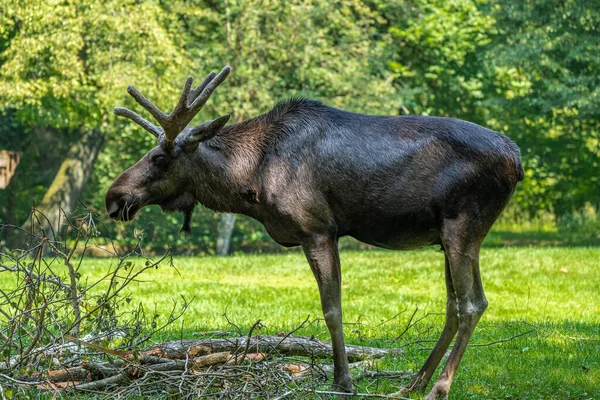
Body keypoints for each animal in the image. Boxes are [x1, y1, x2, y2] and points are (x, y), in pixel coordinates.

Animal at [105, 65, 524, 396]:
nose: (114, 197)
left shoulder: (318, 228)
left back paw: (438, 387)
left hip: (464, 224)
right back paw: (414, 383)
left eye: (159, 157)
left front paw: (343, 381)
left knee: (473, 303)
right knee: (454, 305)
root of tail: (517, 160)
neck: (251, 181)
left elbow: (332, 308)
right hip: (446, 236)